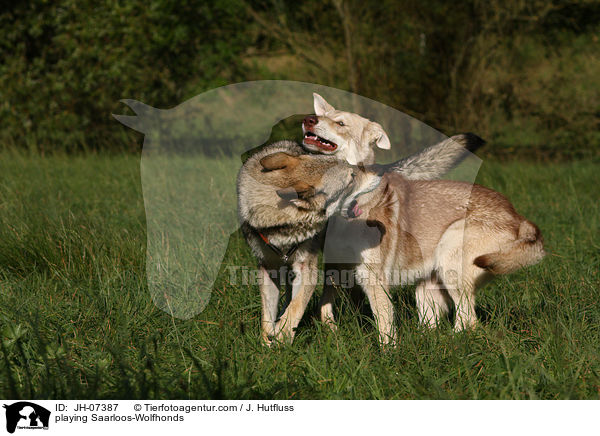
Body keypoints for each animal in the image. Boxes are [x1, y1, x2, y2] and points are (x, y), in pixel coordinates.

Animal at [255, 152, 548, 346]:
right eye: (350, 176)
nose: (382, 172)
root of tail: (519, 218)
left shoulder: (373, 279)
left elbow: (384, 323)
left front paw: (388, 359)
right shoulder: (337, 270)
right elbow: (323, 307)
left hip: (450, 257)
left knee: (469, 321)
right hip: (427, 290)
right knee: (446, 323)